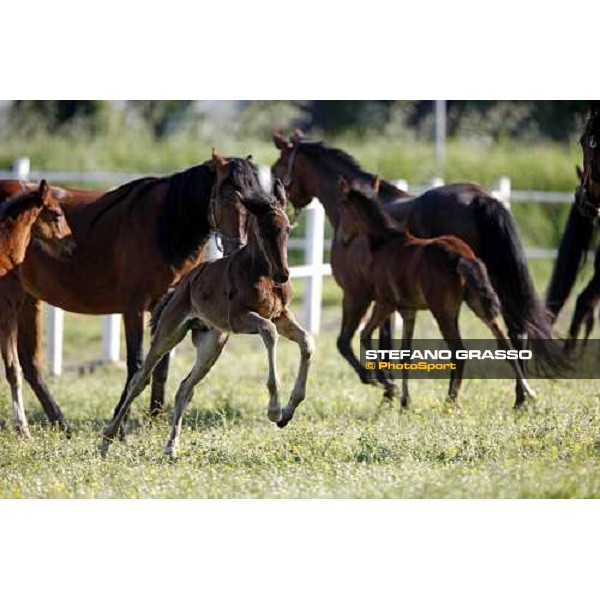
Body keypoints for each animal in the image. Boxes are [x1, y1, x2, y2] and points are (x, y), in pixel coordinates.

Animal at [101, 179, 314, 460]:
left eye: (288, 229)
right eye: (264, 230)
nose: (283, 275)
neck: (261, 273)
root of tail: (182, 285)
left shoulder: (280, 315)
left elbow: (306, 341)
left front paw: (288, 412)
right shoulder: (239, 318)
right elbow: (269, 332)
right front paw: (275, 411)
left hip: (212, 342)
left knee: (185, 387)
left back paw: (171, 449)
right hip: (170, 332)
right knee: (140, 379)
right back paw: (106, 440)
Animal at [340, 178, 536, 410]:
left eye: (343, 207)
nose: (342, 239)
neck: (387, 243)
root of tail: (462, 257)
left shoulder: (385, 303)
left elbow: (365, 335)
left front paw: (383, 383)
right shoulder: (408, 310)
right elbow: (405, 355)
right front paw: (404, 402)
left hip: (443, 311)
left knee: (459, 351)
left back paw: (450, 403)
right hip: (478, 302)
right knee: (505, 343)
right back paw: (528, 393)